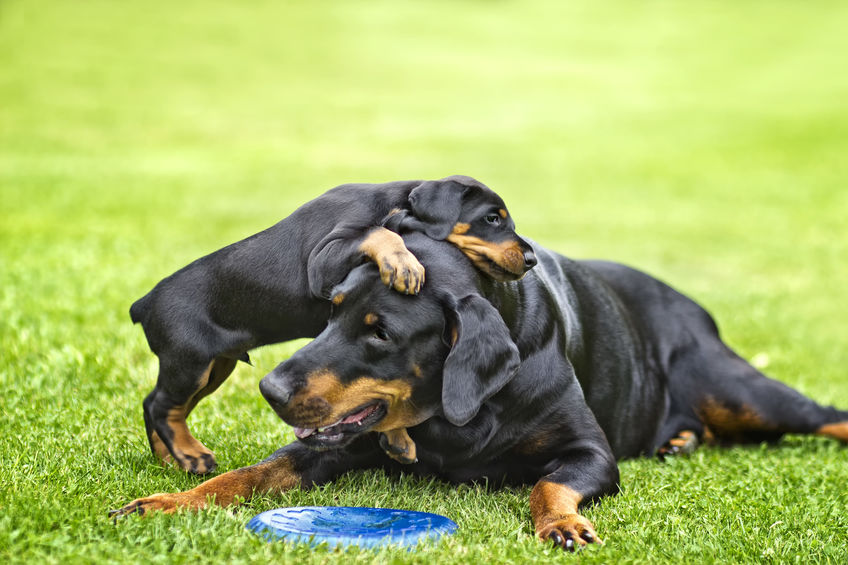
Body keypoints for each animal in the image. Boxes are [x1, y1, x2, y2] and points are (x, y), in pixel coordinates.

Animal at [114, 231, 848, 548]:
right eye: (333, 310)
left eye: (381, 332)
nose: (269, 386)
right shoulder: (328, 444)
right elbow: (249, 474)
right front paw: (168, 500)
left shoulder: (591, 454)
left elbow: (548, 481)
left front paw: (562, 522)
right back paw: (682, 440)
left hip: (737, 387)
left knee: (817, 412)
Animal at [129, 175, 532, 472]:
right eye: (492, 218)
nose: (530, 258)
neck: (394, 203)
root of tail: (143, 304)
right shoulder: (323, 259)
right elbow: (378, 232)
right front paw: (403, 264)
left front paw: (398, 440)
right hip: (190, 363)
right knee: (161, 405)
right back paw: (190, 454)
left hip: (215, 367)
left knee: (159, 405)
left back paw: (171, 458)